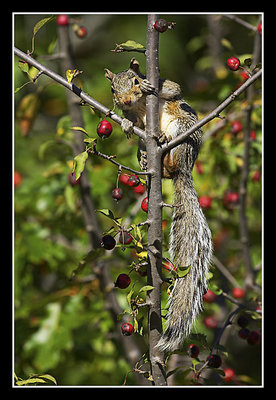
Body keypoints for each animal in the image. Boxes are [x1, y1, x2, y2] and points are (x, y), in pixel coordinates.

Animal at [104, 57, 212, 352]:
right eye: (113, 90)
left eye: (136, 81)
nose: (125, 100)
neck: (141, 106)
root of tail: (185, 170)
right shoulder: (133, 115)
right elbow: (131, 121)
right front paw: (126, 124)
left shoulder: (168, 90)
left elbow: (172, 88)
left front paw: (151, 86)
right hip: (146, 146)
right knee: (156, 163)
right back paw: (148, 161)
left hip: (182, 132)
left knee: (175, 155)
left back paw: (165, 145)